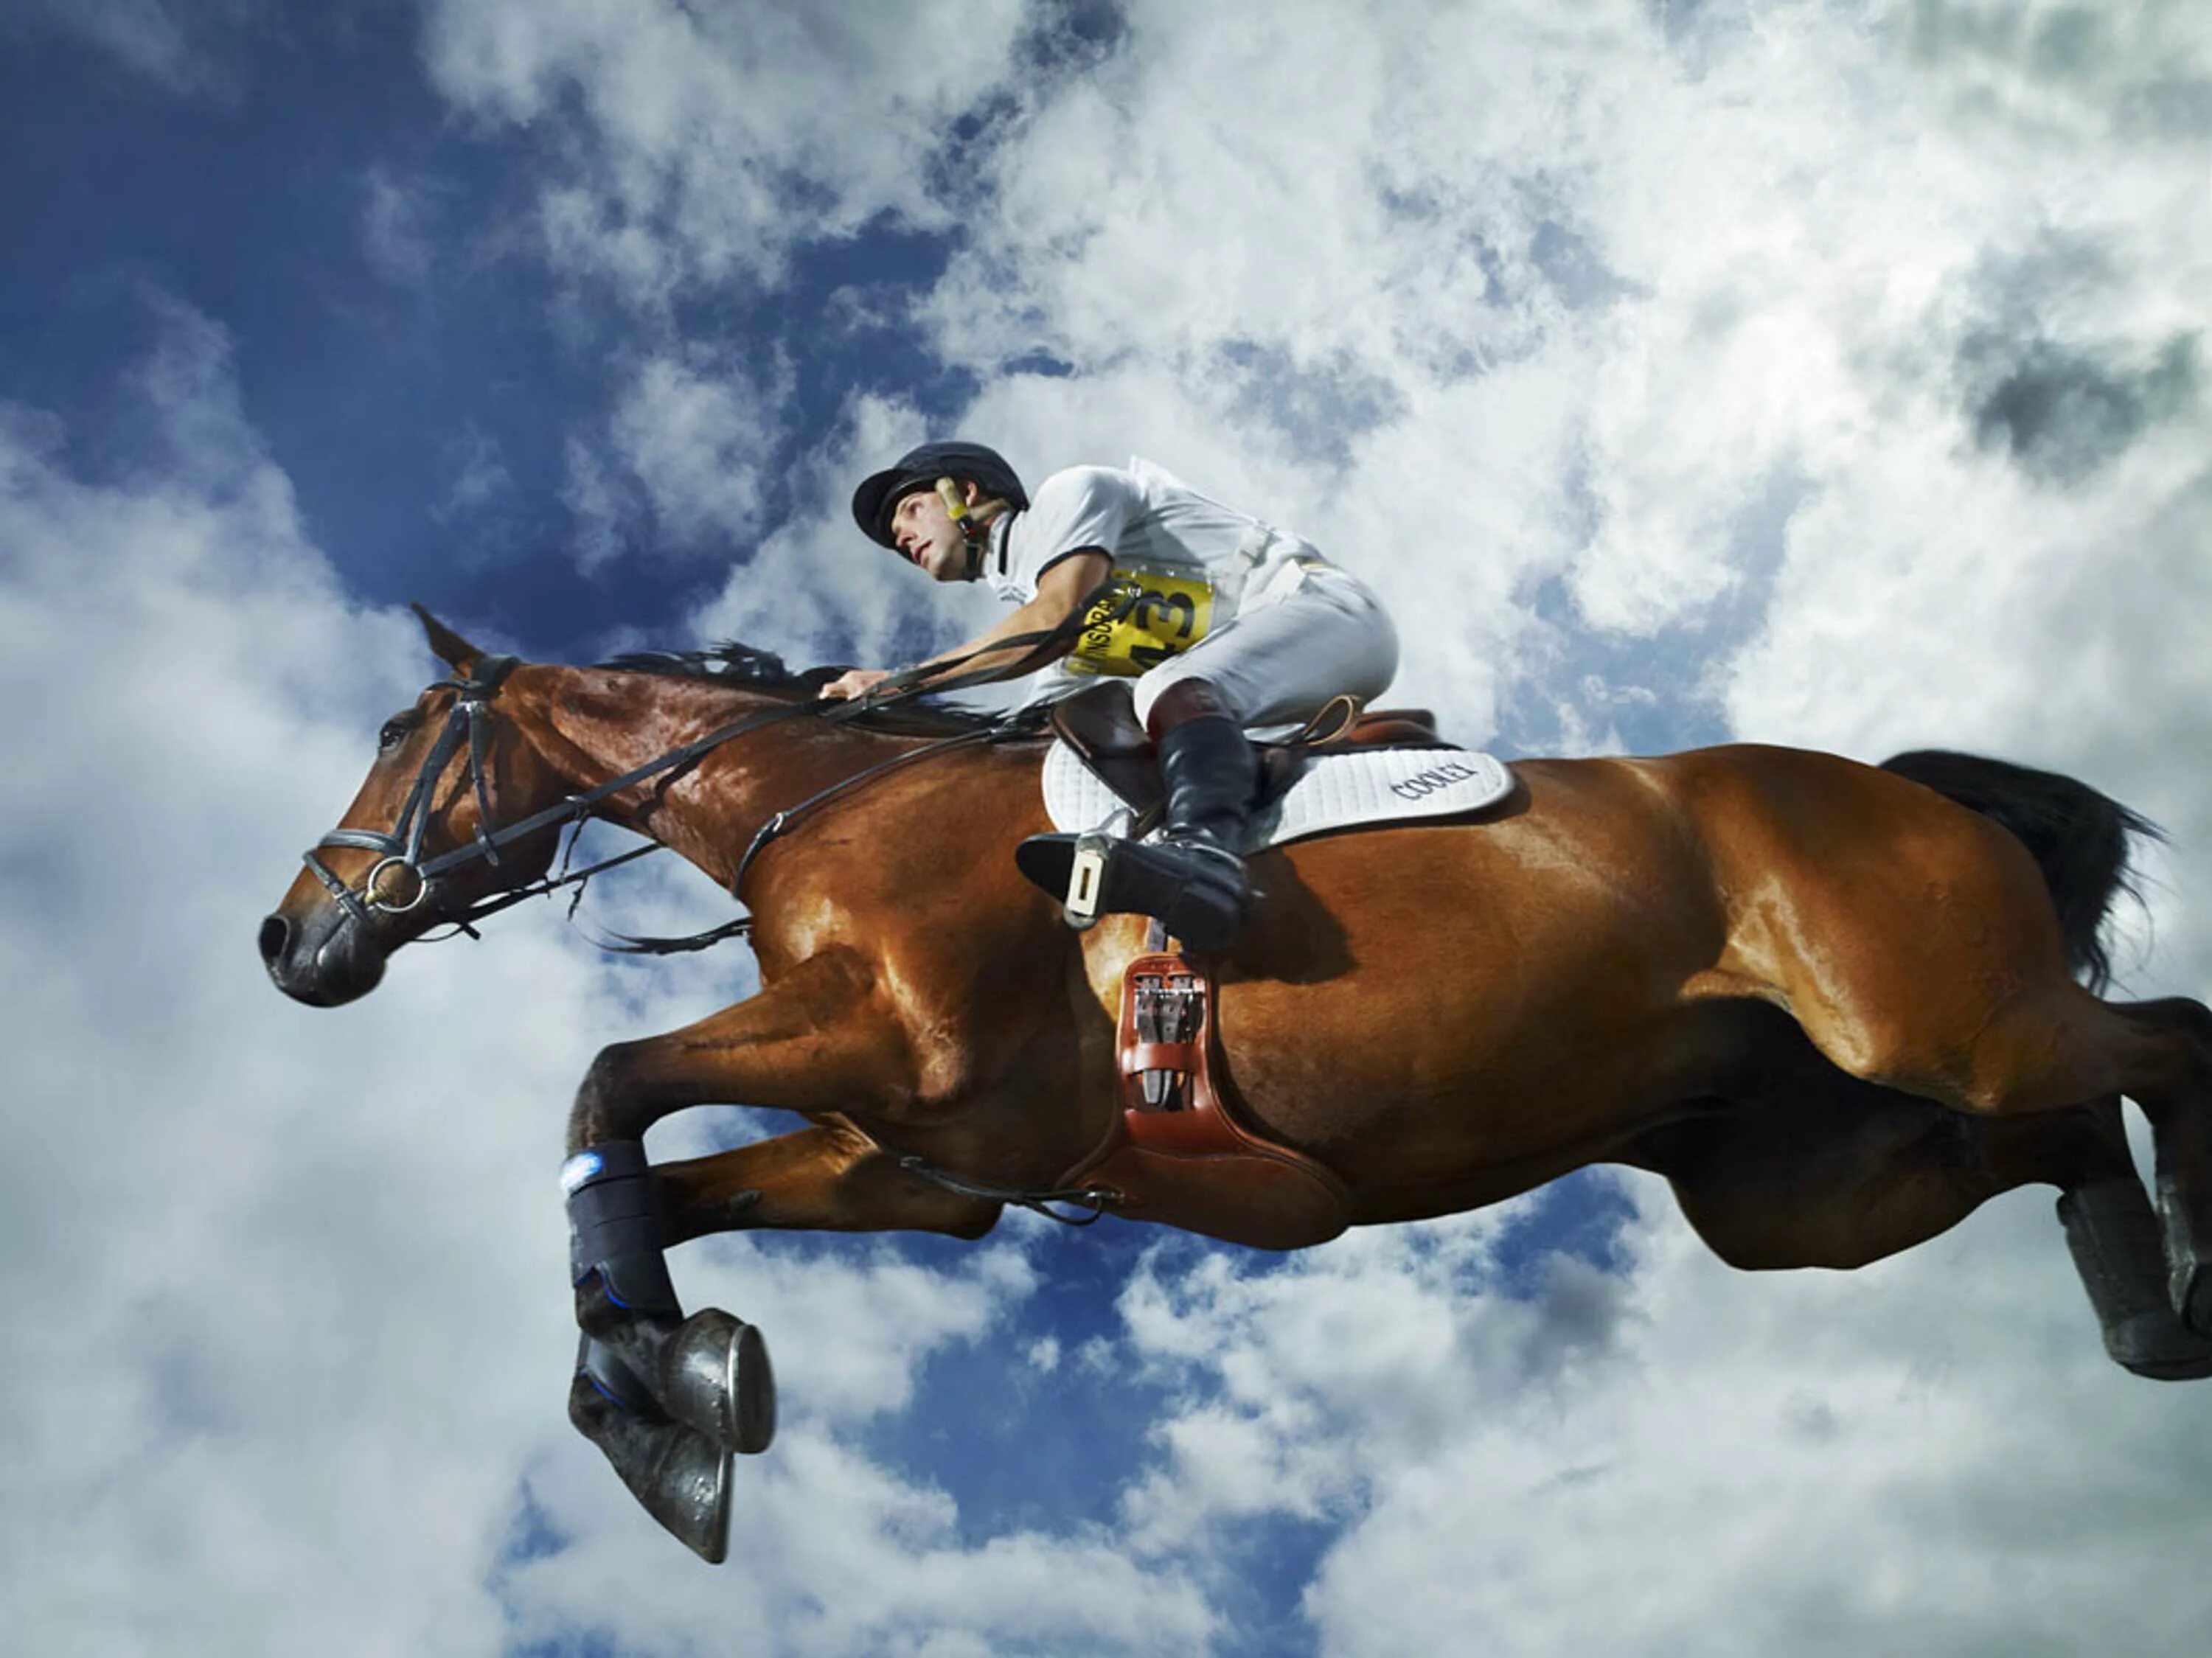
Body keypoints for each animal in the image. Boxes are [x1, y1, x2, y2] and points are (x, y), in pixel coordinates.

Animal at [263, 605, 2212, 1565]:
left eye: (399, 737)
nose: (293, 940)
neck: (822, 798)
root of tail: (1912, 786)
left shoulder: (902, 1050)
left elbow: (604, 1085)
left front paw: (670, 1381)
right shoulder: (915, 1158)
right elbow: (643, 1188)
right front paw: (660, 1393)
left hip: (1935, 1024)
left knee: (2174, 1034)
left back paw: (2190, 1280)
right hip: (1797, 1183)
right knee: (2060, 1131)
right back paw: (2150, 1317)